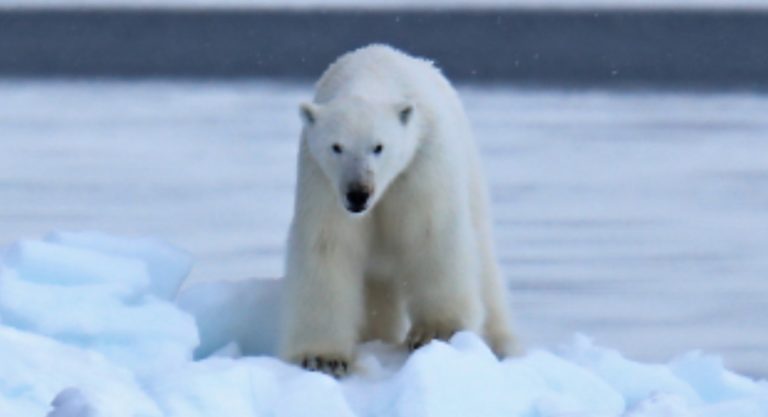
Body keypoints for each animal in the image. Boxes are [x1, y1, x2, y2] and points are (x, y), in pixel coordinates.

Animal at [279, 44, 517, 377]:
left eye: (378, 147)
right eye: (336, 146)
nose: (358, 194)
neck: (371, 74)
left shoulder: (420, 162)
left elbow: (431, 233)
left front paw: (437, 331)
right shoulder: (322, 180)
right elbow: (328, 247)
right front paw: (322, 358)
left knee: (484, 265)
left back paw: (500, 343)